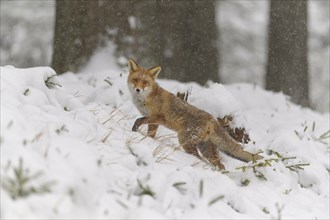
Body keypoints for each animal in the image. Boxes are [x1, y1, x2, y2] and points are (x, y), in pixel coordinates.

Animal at [127, 58, 262, 170]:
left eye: (145, 82)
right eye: (135, 80)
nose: (138, 89)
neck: (147, 99)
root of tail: (212, 118)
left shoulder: (157, 117)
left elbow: (138, 120)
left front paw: (134, 130)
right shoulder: (154, 121)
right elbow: (150, 134)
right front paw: (147, 140)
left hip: (185, 141)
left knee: (198, 158)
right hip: (206, 148)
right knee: (220, 164)